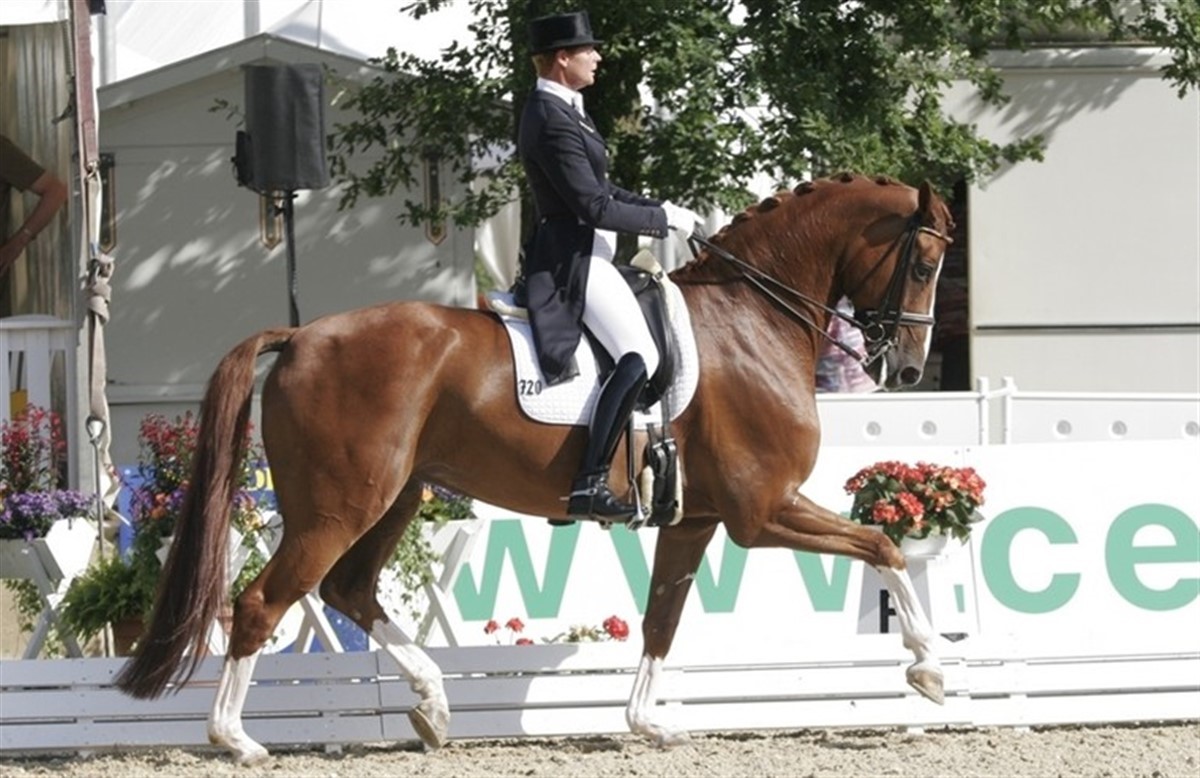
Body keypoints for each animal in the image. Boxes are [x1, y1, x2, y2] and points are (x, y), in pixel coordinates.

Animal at [114, 173, 955, 764]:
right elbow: (882, 545)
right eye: (923, 260)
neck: (751, 319)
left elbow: (662, 620)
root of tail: (300, 336)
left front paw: (647, 723)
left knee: (347, 590)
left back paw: (432, 706)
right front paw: (930, 668)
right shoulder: (763, 509)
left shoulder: (701, 518)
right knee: (263, 603)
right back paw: (238, 740)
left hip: (395, 496)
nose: (911, 369)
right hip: (339, 505)